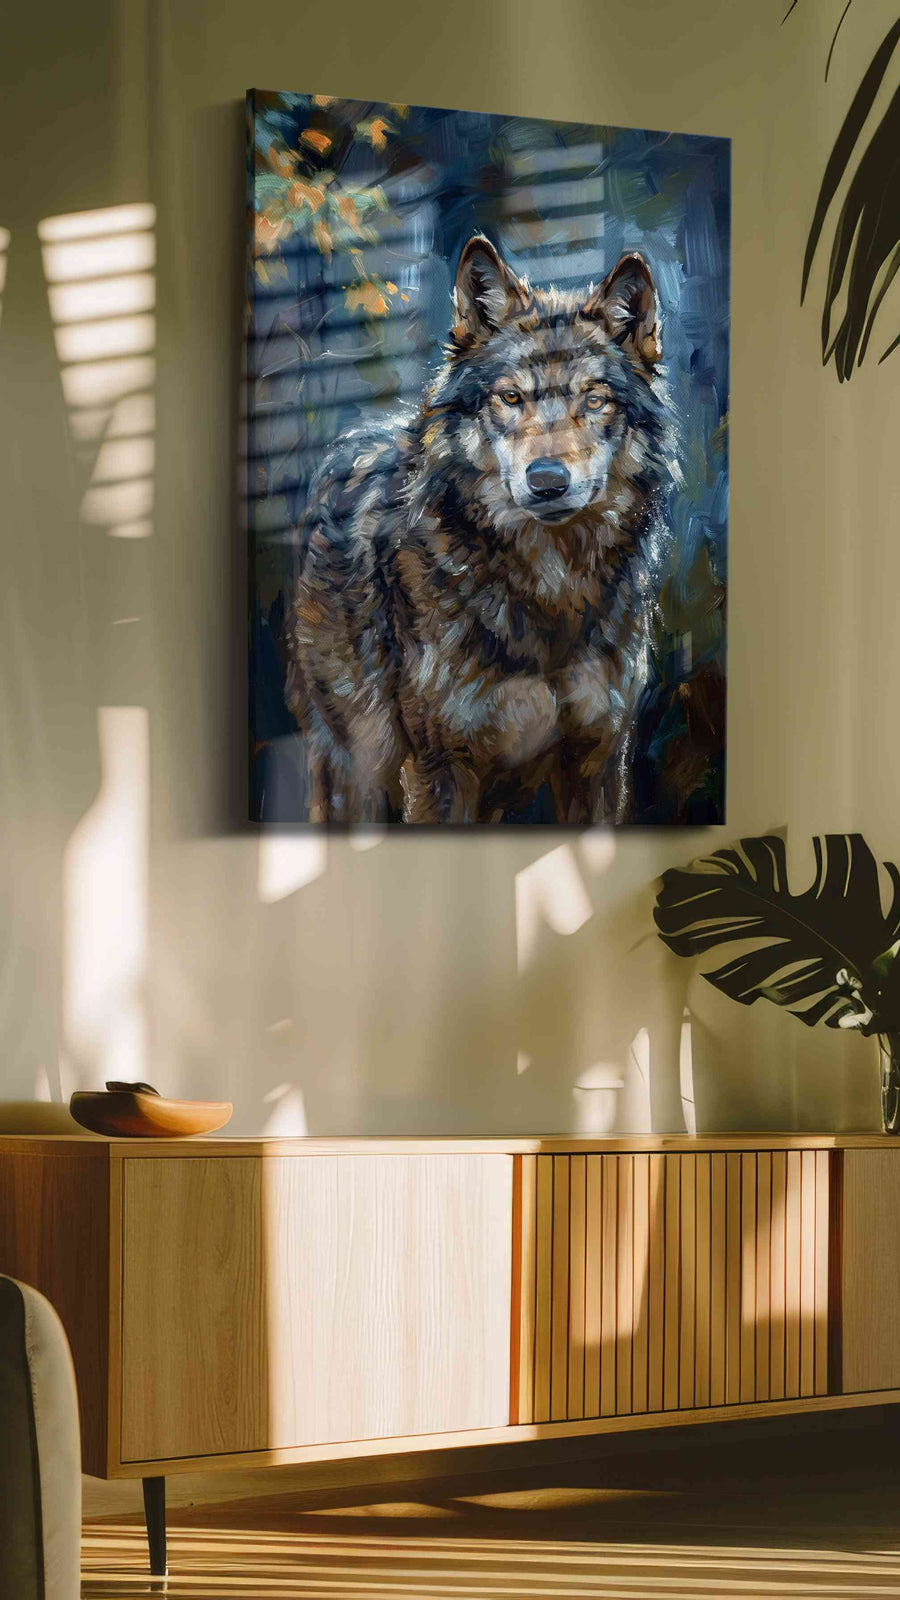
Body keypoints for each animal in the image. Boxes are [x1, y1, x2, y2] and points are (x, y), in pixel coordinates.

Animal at [284, 234, 672, 824]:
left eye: (594, 399)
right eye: (510, 398)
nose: (548, 481)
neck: (551, 589)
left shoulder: (599, 758)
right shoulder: (441, 769)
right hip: (361, 771)